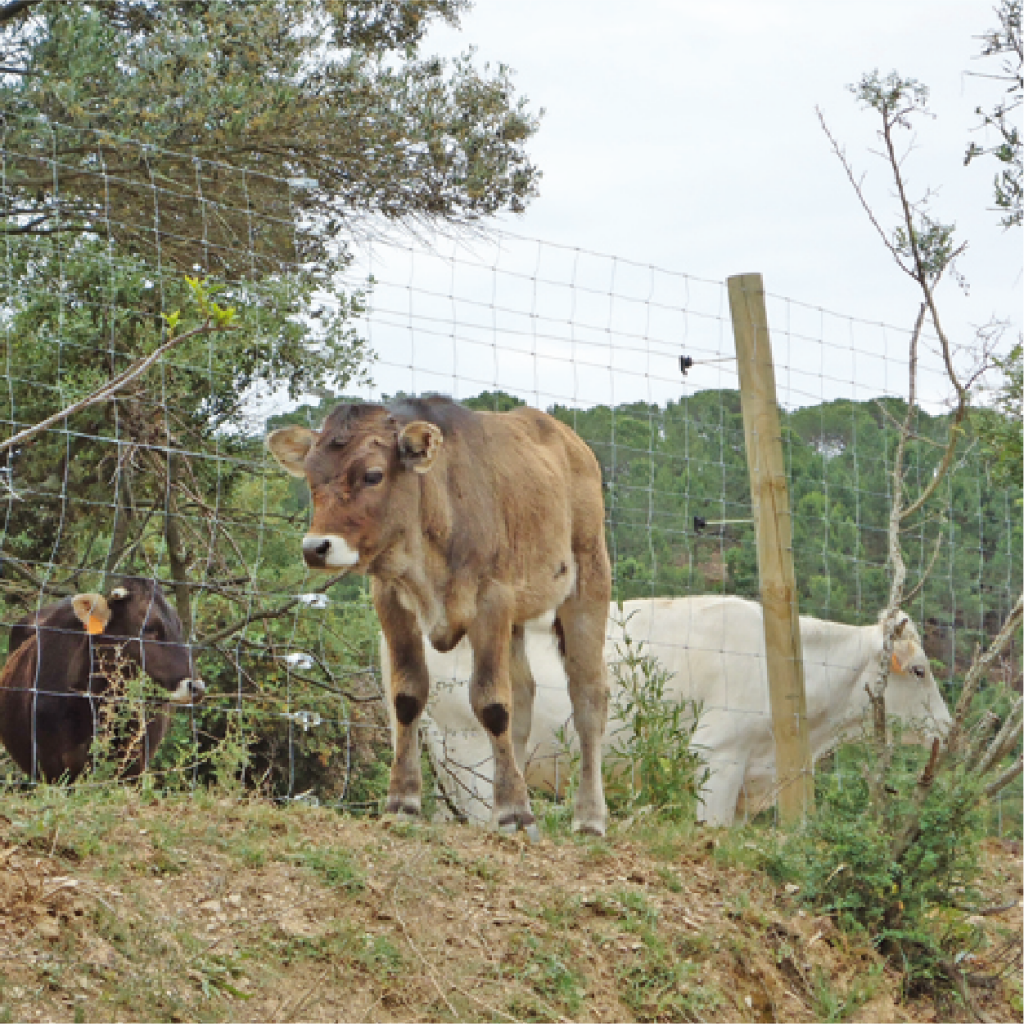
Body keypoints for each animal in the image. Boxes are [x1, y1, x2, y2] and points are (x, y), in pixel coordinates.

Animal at [267, 395, 612, 835]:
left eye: (373, 475)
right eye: (311, 477)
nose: (316, 547)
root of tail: (570, 441)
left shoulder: (491, 600)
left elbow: (491, 703)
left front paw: (514, 812)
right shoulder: (391, 601)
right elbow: (408, 697)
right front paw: (403, 802)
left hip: (588, 583)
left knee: (587, 699)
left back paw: (589, 818)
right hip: (518, 619)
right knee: (523, 698)